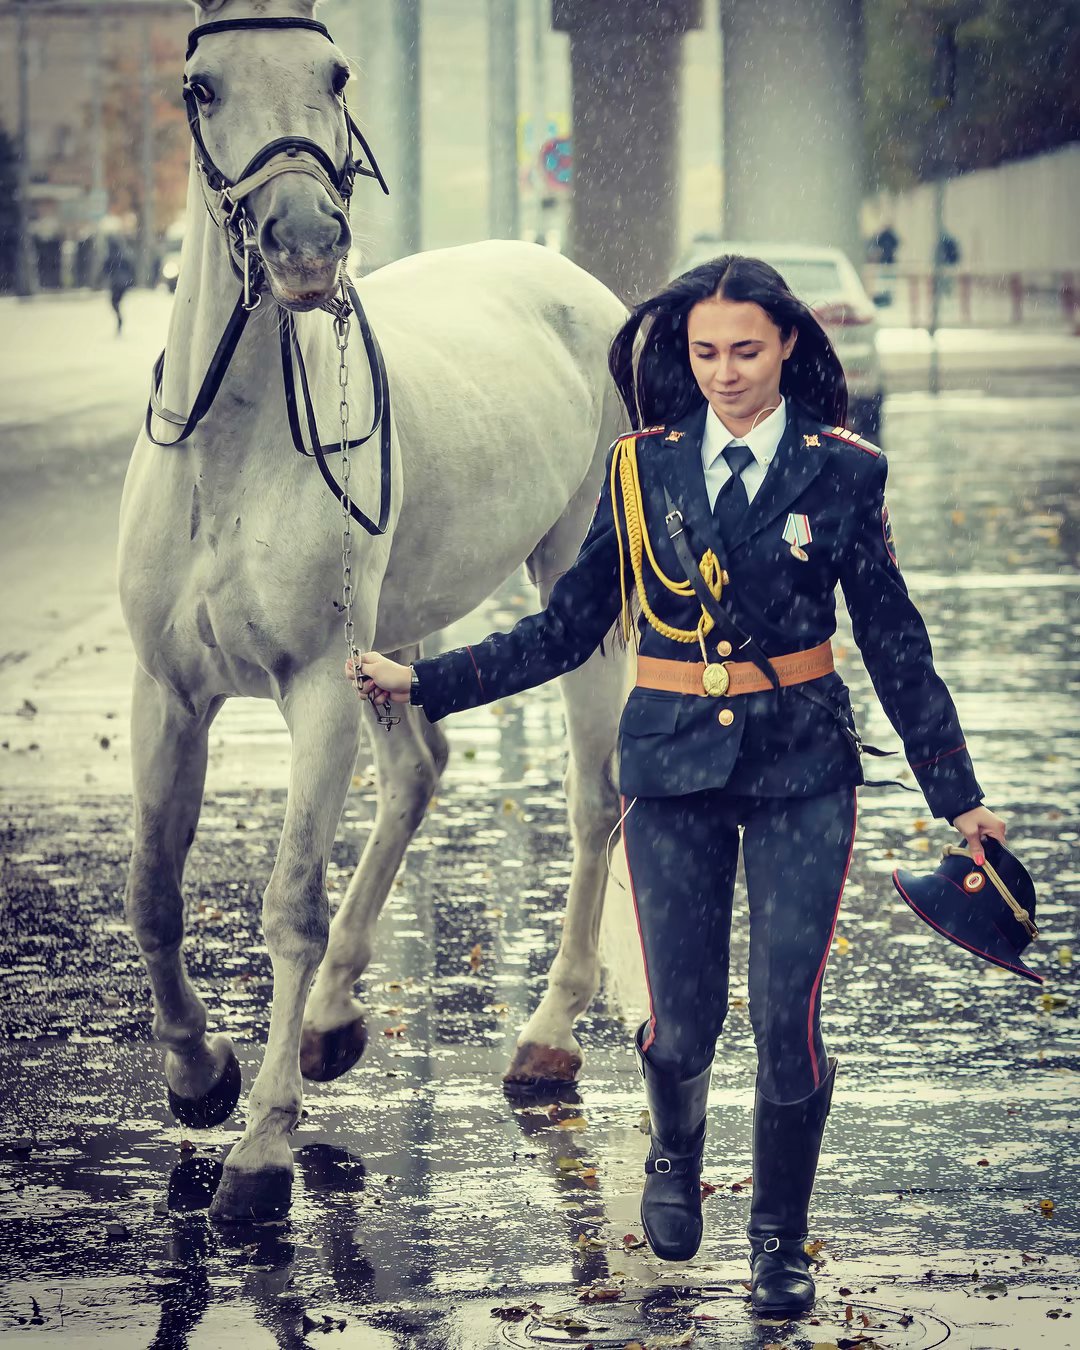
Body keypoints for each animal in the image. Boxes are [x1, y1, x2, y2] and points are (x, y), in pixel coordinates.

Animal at [116, 0, 629, 1225]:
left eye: (337, 70)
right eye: (199, 86)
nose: (305, 243)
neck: (230, 445)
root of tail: (575, 283)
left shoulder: (312, 686)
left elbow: (289, 904)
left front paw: (261, 1151)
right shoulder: (170, 692)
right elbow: (154, 889)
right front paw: (198, 1075)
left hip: (575, 599)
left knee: (594, 803)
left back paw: (545, 1036)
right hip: (389, 640)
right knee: (418, 771)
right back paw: (338, 1018)